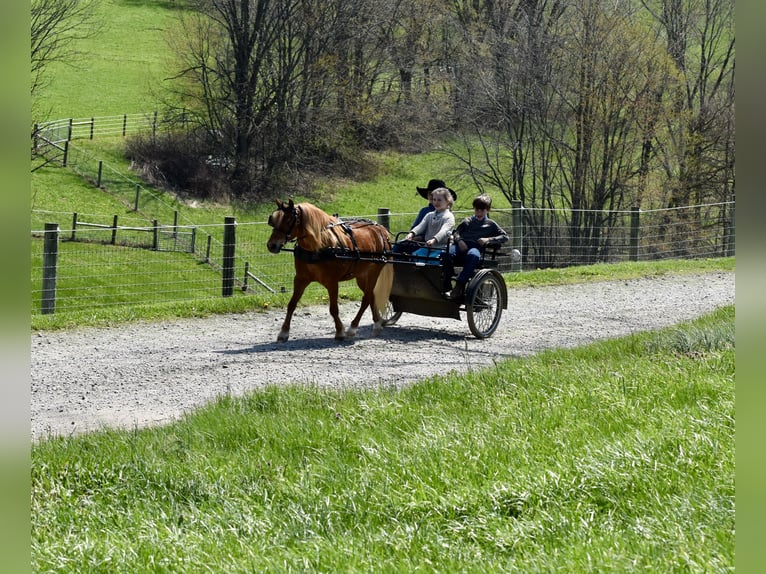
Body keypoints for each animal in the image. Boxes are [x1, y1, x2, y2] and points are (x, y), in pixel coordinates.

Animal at [266, 199, 394, 342]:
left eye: (289, 220)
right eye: (273, 220)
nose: (272, 245)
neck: (318, 247)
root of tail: (381, 229)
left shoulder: (332, 282)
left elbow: (333, 309)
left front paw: (340, 331)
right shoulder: (300, 279)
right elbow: (291, 304)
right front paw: (284, 332)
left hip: (374, 271)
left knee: (366, 298)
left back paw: (353, 328)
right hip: (361, 276)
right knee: (371, 295)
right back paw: (377, 324)